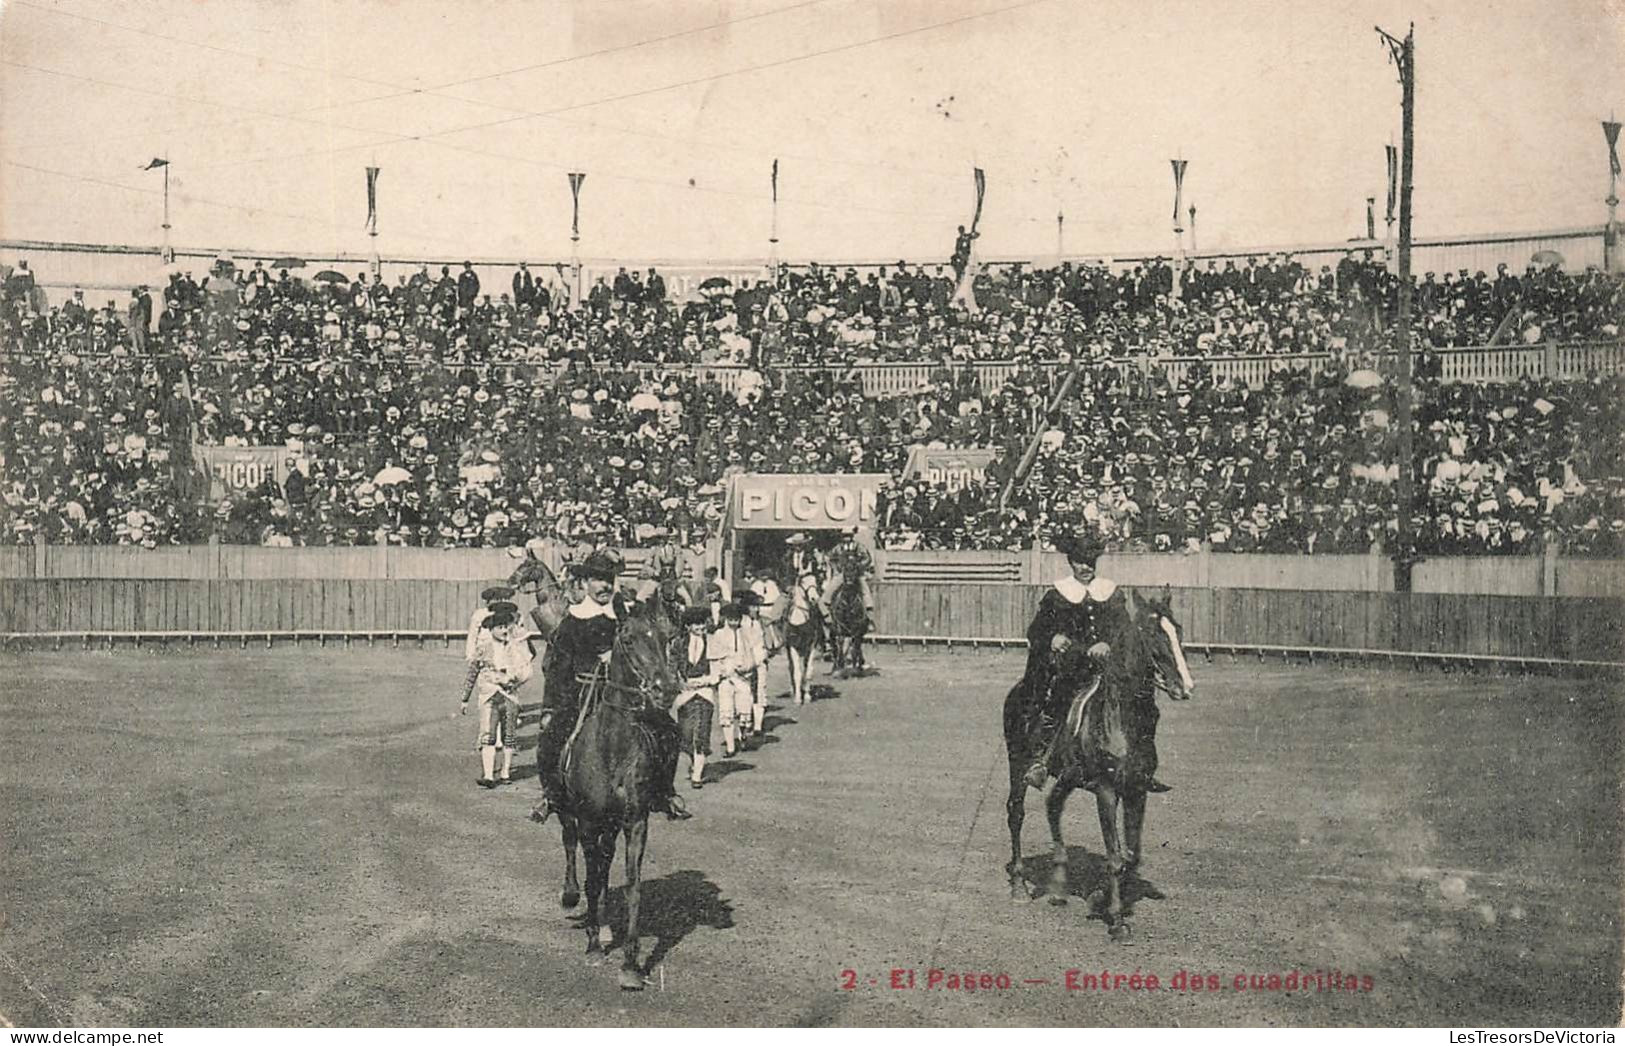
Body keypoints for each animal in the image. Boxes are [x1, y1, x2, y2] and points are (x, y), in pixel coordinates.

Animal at [552, 613, 679, 987]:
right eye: (629, 639)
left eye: (666, 638)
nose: (666, 689)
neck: (612, 748)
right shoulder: (587, 820)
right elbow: (592, 879)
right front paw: (593, 945)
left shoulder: (635, 822)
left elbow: (632, 883)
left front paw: (631, 965)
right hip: (568, 812)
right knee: (570, 844)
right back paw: (571, 895)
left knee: (605, 863)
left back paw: (607, 925)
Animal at [994, 587, 1202, 942]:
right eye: (1152, 633)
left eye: (1178, 630)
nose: (1184, 687)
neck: (1120, 717)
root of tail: (1019, 691)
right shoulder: (1106, 791)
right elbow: (1115, 856)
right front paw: (1117, 921)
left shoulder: (1136, 791)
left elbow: (1131, 855)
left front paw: (1099, 898)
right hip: (1016, 764)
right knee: (1016, 814)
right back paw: (1019, 885)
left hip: (1068, 776)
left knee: (1053, 806)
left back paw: (1059, 885)